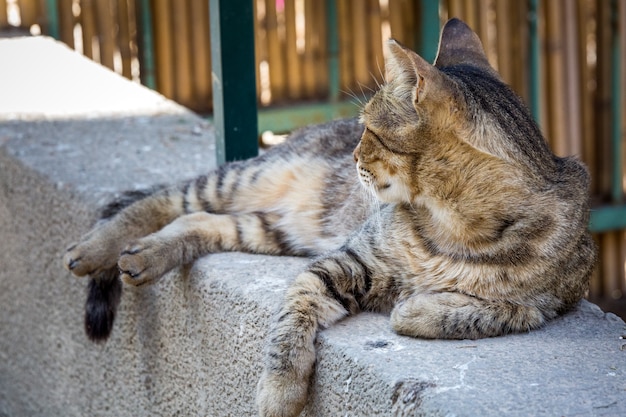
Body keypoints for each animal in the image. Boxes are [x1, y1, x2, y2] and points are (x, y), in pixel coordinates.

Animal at [63, 18, 596, 416]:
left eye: (370, 130)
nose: (353, 155)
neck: (452, 225)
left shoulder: (552, 300)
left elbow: (494, 311)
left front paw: (419, 307)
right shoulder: (342, 262)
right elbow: (288, 324)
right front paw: (278, 394)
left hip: (278, 226)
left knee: (197, 224)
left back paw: (142, 256)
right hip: (247, 181)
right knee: (164, 200)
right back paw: (94, 249)